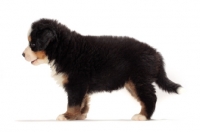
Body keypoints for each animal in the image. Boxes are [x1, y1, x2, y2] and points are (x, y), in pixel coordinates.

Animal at [22, 18, 182, 120]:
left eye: (33, 44)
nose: (22, 54)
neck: (64, 49)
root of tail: (156, 53)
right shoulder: (81, 85)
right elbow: (83, 101)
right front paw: (80, 116)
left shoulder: (76, 83)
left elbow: (73, 103)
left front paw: (67, 116)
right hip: (132, 83)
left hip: (140, 80)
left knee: (150, 97)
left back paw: (142, 116)